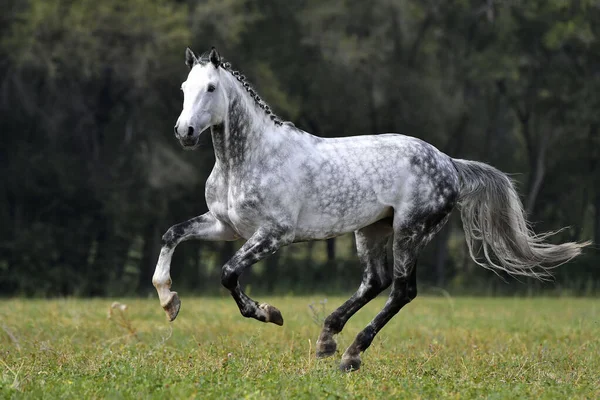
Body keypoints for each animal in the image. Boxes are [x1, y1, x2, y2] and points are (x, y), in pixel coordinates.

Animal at [152, 47, 588, 372]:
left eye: (211, 88)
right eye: (184, 87)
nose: (184, 133)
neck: (248, 159)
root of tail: (449, 163)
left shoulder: (274, 234)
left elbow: (228, 273)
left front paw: (269, 313)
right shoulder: (225, 226)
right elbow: (172, 235)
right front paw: (169, 302)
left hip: (411, 230)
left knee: (401, 290)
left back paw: (351, 354)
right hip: (372, 229)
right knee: (375, 281)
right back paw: (328, 338)